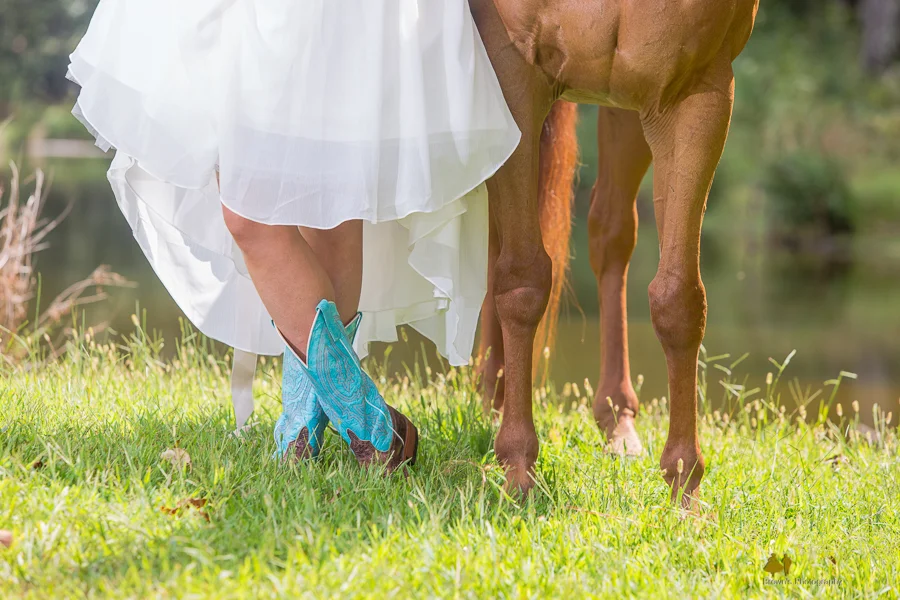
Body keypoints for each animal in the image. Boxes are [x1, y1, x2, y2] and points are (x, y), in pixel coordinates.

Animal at [472, 0, 760, 505]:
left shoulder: (696, 89)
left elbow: (679, 299)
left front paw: (684, 486)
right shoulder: (511, 73)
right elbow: (523, 278)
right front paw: (519, 467)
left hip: (625, 108)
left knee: (610, 234)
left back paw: (616, 420)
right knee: (500, 241)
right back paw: (495, 398)